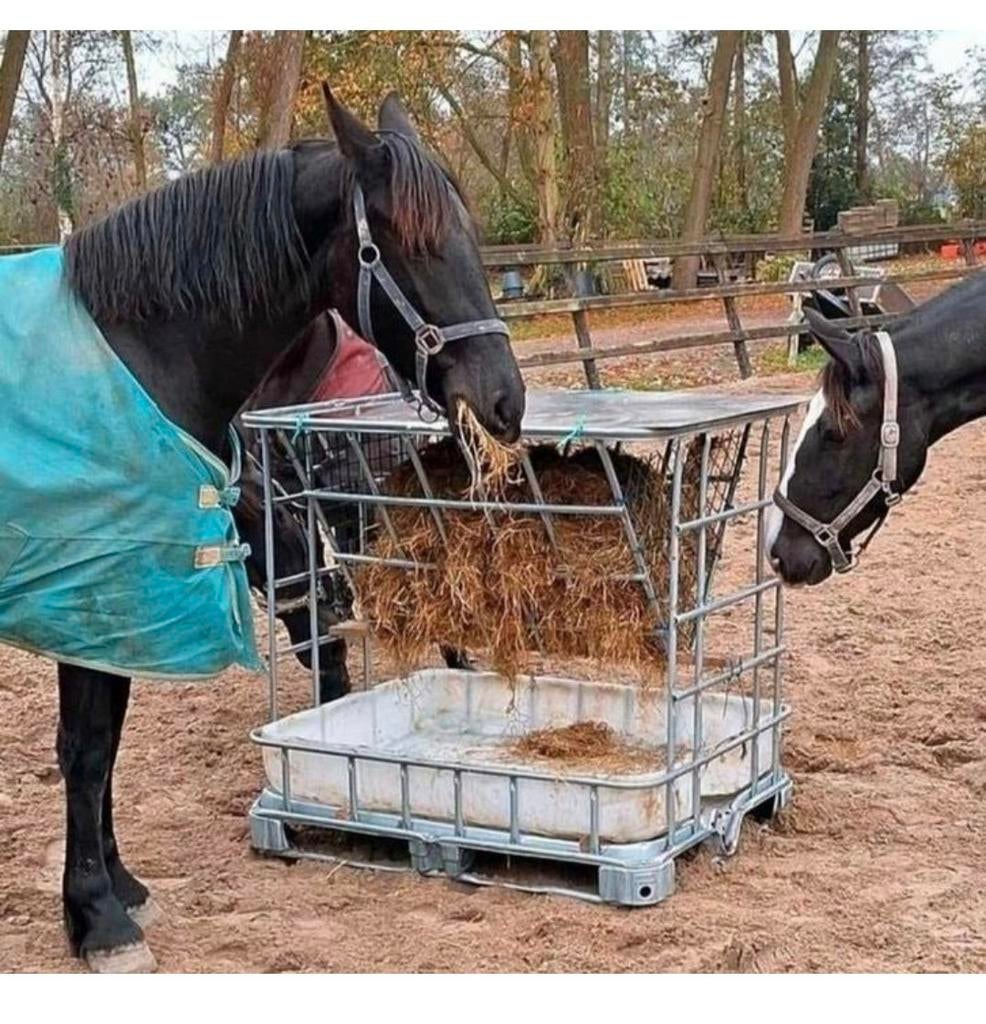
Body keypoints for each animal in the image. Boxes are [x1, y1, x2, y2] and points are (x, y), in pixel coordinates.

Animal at [8, 84, 525, 972]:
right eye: (412, 245)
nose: (506, 400)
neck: (135, 357)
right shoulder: (95, 594)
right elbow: (86, 747)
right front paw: (97, 919)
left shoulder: (132, 600)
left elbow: (107, 741)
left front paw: (120, 887)